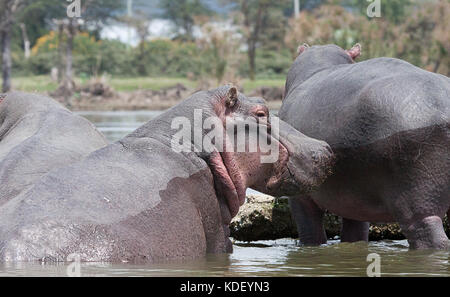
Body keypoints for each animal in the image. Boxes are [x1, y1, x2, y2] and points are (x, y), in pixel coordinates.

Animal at [282, 43, 450, 247]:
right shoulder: (356, 199)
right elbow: (356, 234)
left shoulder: (299, 197)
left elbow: (310, 233)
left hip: (417, 201)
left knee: (428, 233)